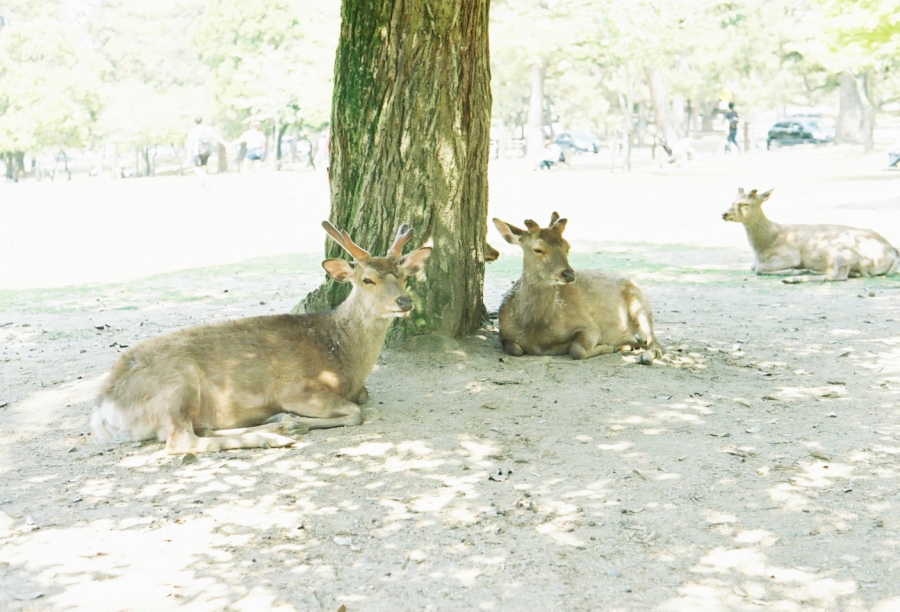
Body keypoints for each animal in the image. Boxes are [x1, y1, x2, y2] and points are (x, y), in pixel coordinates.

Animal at [90, 222, 432, 452]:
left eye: (404, 276)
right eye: (367, 279)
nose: (405, 302)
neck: (341, 355)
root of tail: (103, 410)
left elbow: (363, 398)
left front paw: (289, 420)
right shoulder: (296, 388)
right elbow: (356, 412)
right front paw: (295, 420)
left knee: (195, 431)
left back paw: (271, 426)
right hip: (175, 385)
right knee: (181, 440)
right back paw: (274, 435)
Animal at [492, 212, 660, 364]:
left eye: (567, 246)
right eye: (538, 249)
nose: (569, 274)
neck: (536, 333)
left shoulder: (589, 326)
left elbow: (577, 350)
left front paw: (609, 347)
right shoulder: (504, 332)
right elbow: (515, 349)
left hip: (641, 305)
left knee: (655, 343)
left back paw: (644, 356)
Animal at [724, 188, 900, 284]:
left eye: (745, 204)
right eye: (732, 200)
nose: (724, 214)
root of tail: (894, 254)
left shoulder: (790, 255)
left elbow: (758, 269)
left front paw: (794, 271)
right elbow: (753, 267)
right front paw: (797, 271)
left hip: (845, 253)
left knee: (839, 275)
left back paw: (794, 278)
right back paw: (808, 271)